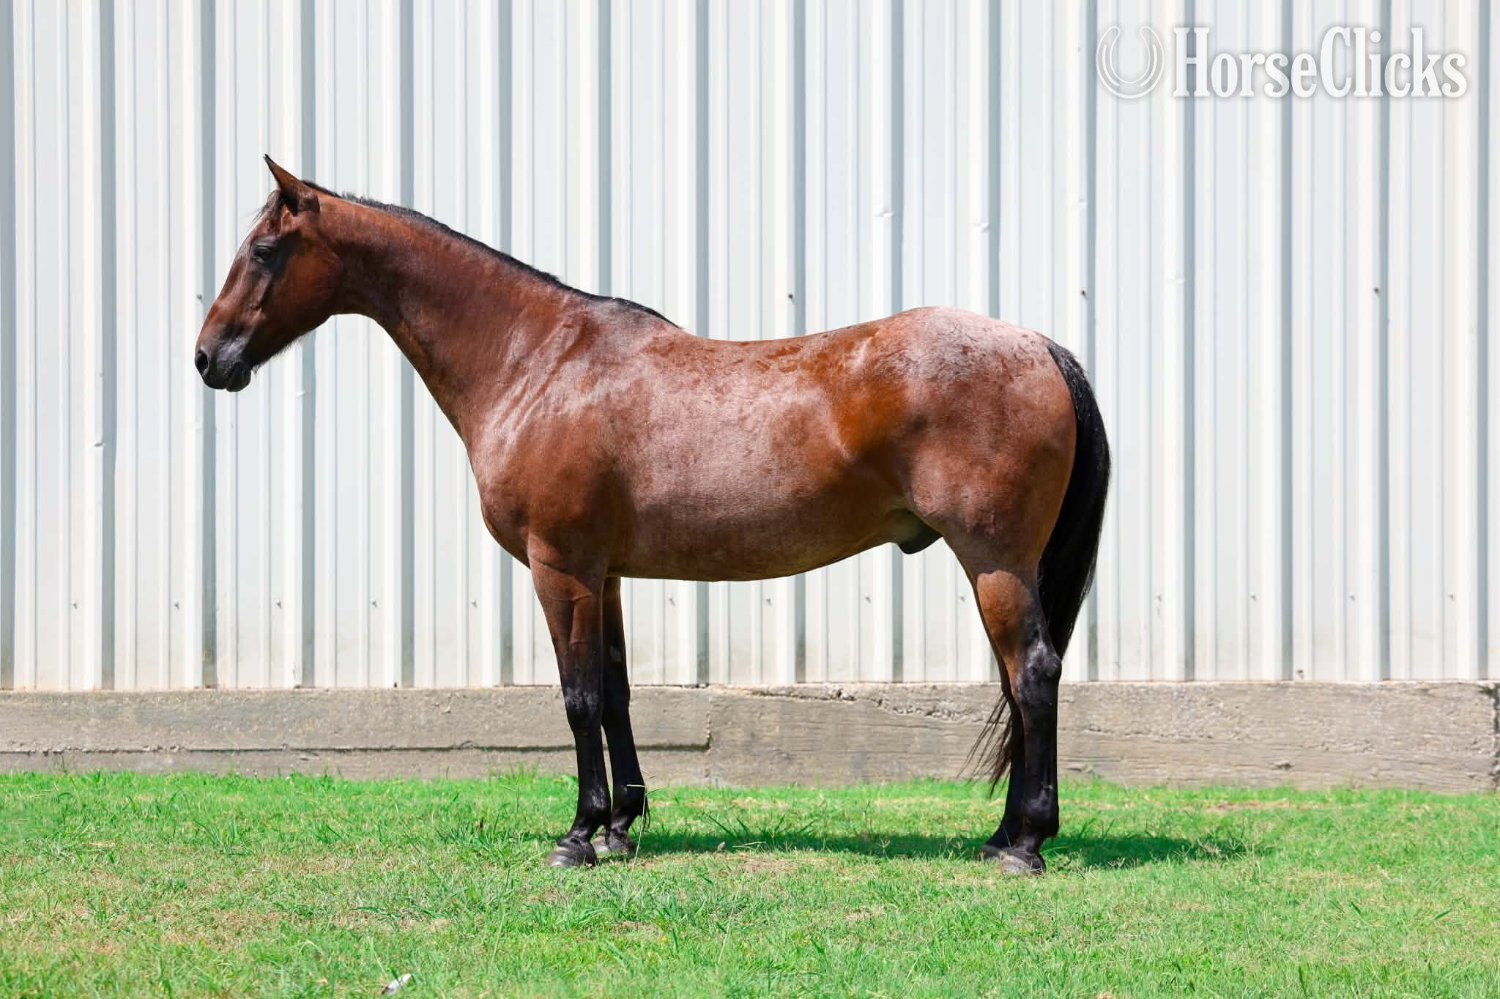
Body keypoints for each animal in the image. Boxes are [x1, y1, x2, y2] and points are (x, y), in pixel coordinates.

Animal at [195, 157, 1110, 874]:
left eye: (265, 251)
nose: (208, 358)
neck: (536, 358)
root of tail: (1037, 344)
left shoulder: (560, 566)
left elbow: (577, 698)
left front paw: (578, 835)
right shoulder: (603, 574)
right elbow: (617, 690)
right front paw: (623, 826)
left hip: (994, 560)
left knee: (1032, 674)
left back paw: (1025, 843)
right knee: (1019, 680)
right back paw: (1001, 835)